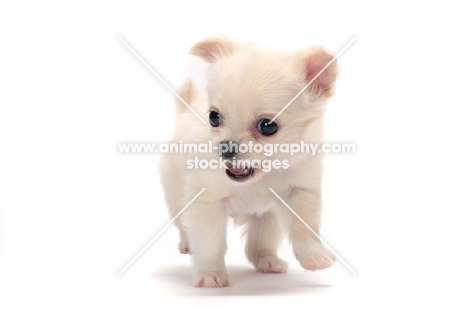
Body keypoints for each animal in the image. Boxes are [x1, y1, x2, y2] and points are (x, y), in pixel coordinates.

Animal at [159, 36, 338, 288]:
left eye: (268, 126)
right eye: (213, 117)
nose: (226, 147)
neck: (260, 177)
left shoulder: (301, 192)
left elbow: (304, 229)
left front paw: (315, 258)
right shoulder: (205, 204)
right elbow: (210, 243)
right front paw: (210, 274)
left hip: (267, 218)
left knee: (258, 245)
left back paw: (269, 260)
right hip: (176, 194)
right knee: (183, 225)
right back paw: (187, 244)